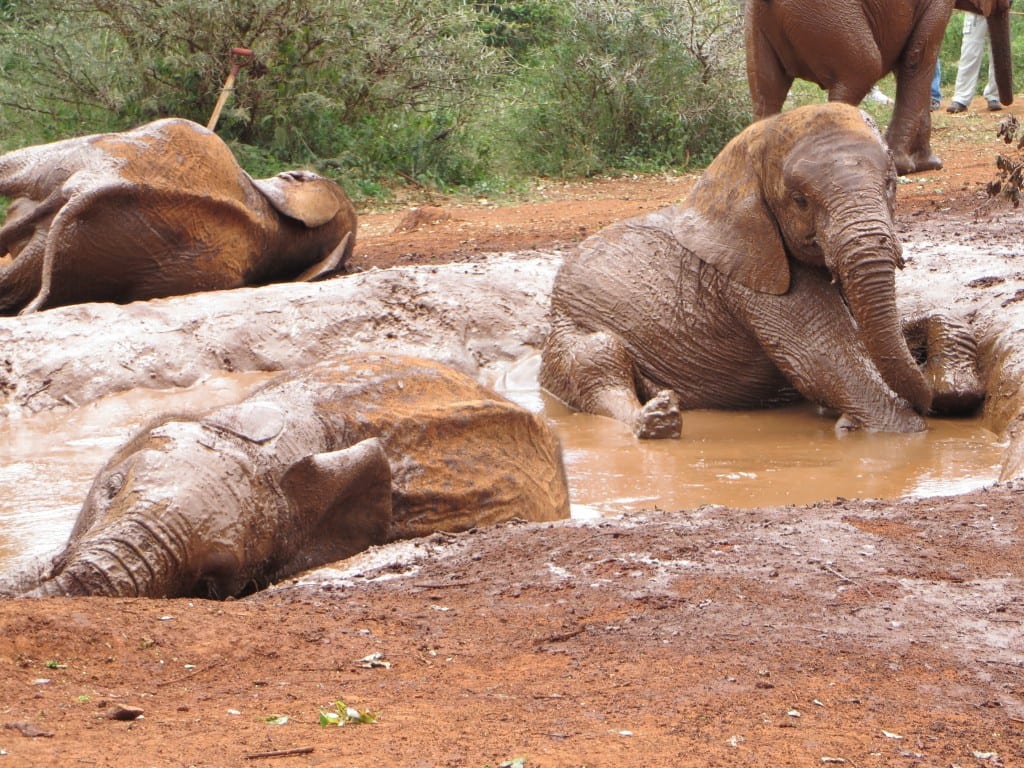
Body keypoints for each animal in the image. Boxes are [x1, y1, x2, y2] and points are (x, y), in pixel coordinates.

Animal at [538, 103, 984, 439]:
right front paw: (892, 426)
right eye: (801, 200)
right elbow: (825, 363)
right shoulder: (752, 278)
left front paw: (955, 388)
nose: (930, 397)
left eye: (891, 182)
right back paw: (656, 421)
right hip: (570, 326)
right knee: (598, 360)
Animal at [745, 0, 1014, 175]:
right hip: (827, 15)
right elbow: (917, 59)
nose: (1005, 104)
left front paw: (930, 164)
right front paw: (904, 166)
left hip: (757, 23)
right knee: (864, 70)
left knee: (766, 94)